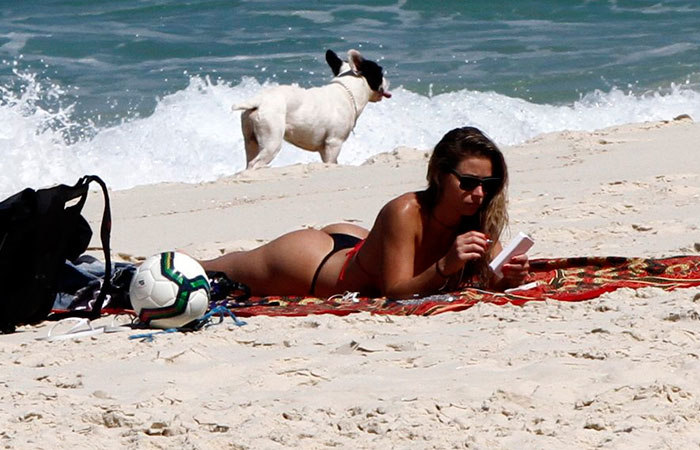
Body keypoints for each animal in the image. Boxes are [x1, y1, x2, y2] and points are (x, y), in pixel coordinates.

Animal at [234, 48, 388, 169]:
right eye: (380, 72)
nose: (387, 80)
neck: (348, 90)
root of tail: (259, 100)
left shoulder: (324, 149)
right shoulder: (334, 143)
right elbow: (331, 161)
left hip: (250, 141)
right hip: (272, 141)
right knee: (256, 163)